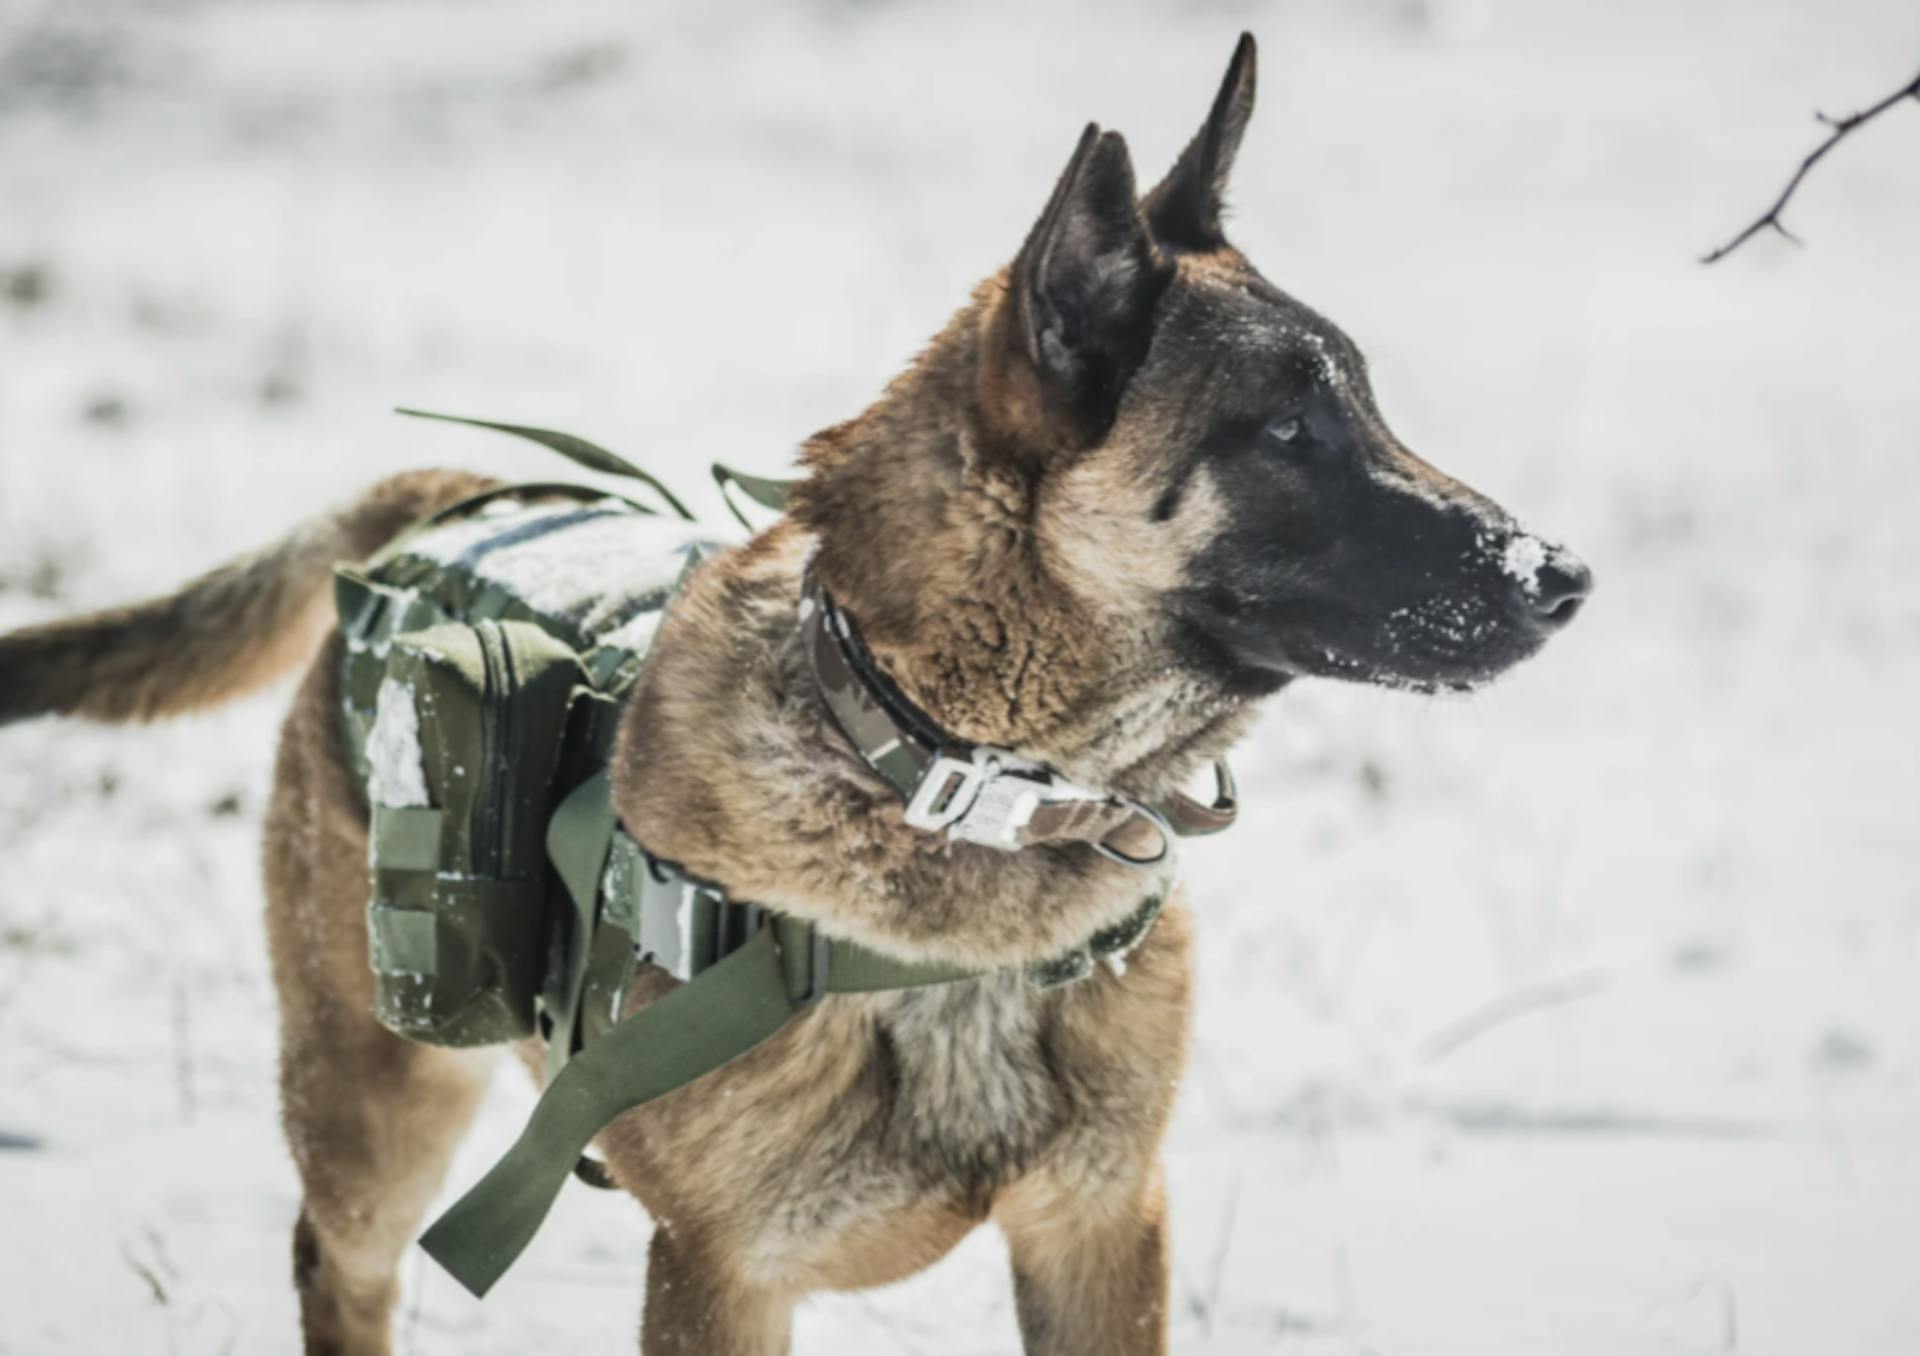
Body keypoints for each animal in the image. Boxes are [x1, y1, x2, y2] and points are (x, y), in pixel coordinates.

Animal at [0, 34, 1589, 1352]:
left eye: (1367, 409)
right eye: (1289, 433)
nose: (1566, 576)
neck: (955, 788)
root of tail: (457, 495)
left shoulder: (1097, 1234)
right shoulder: (723, 1271)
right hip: (379, 1108)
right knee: (342, 1268)